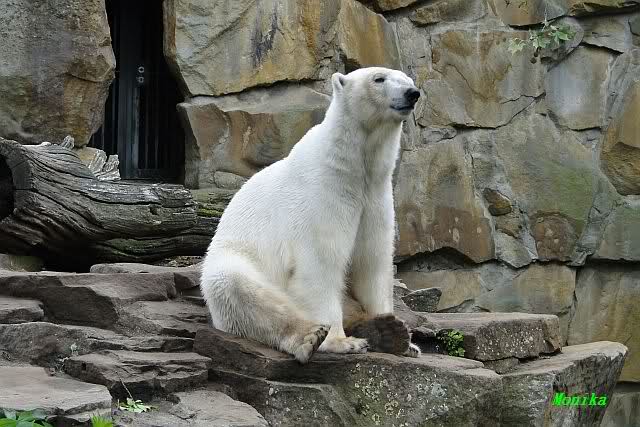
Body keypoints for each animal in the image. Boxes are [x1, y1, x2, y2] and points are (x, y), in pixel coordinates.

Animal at [200, 67, 421, 363]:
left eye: (409, 80)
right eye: (379, 79)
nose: (412, 94)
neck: (351, 168)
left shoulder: (376, 198)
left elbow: (372, 263)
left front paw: (405, 340)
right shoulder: (323, 195)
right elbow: (321, 263)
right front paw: (340, 342)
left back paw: (387, 332)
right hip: (232, 262)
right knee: (238, 288)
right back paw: (310, 336)